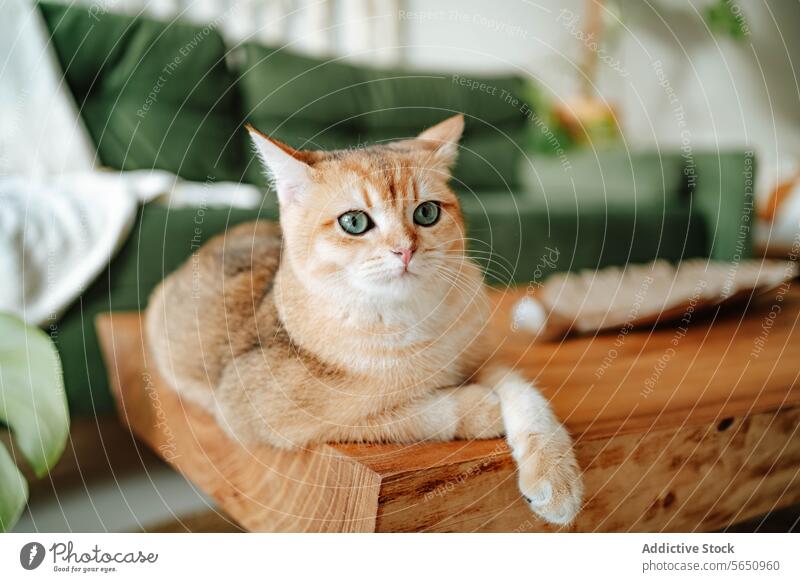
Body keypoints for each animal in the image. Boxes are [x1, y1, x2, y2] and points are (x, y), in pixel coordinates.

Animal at [145, 114, 580, 524]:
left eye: (427, 212)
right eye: (354, 222)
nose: (405, 250)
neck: (411, 319)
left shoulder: (480, 354)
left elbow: (527, 395)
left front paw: (556, 479)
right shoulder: (256, 411)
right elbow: (398, 412)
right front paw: (480, 407)